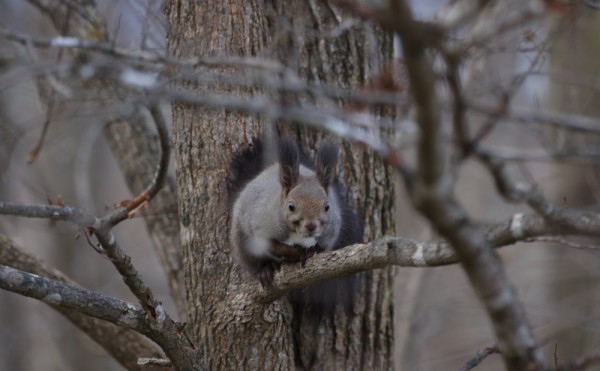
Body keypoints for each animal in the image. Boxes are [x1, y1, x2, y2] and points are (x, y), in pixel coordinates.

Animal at [229, 138, 360, 290]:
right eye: (291, 206)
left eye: (327, 206)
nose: (311, 226)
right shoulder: (262, 225)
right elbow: (273, 246)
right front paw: (295, 252)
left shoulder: (331, 231)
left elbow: (323, 246)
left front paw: (312, 250)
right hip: (243, 241)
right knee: (252, 261)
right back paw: (264, 270)